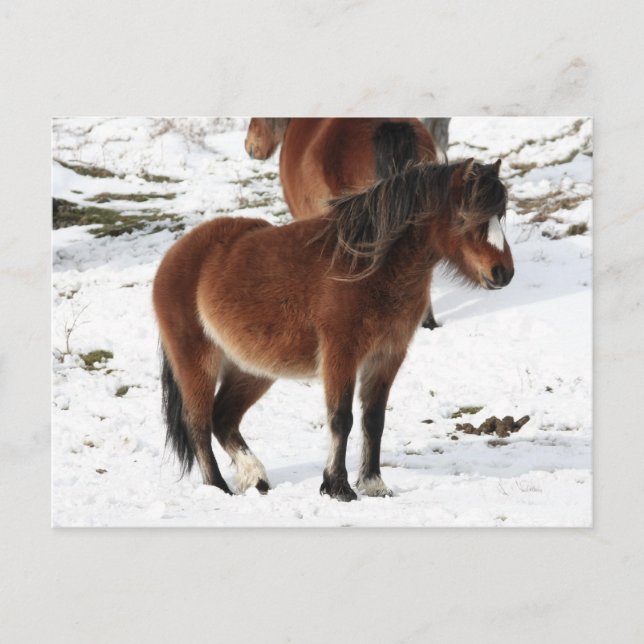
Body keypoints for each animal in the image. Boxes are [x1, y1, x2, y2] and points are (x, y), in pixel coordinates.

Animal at [153, 158, 513, 501]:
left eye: (500, 214)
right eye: (467, 216)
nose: (503, 272)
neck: (367, 265)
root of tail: (173, 256)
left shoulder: (387, 356)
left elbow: (374, 420)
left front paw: (374, 484)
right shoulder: (342, 353)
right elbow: (342, 419)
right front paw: (338, 487)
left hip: (252, 371)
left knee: (223, 418)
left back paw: (255, 477)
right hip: (198, 363)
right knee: (198, 423)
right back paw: (218, 487)